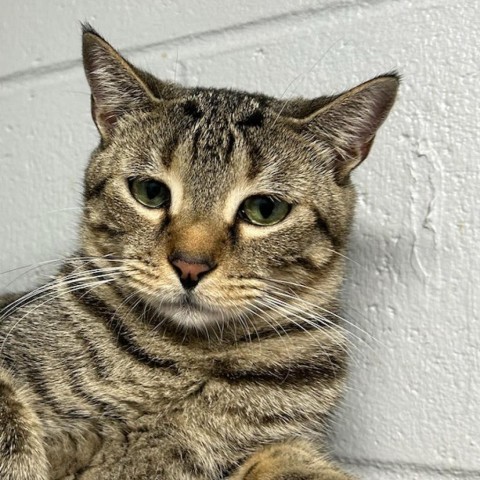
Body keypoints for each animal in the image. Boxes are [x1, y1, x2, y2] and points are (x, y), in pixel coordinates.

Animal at [0, 25, 398, 480]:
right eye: (150, 192)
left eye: (265, 210)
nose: (190, 265)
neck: (184, 361)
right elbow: (11, 421)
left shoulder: (267, 448)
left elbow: (294, 462)